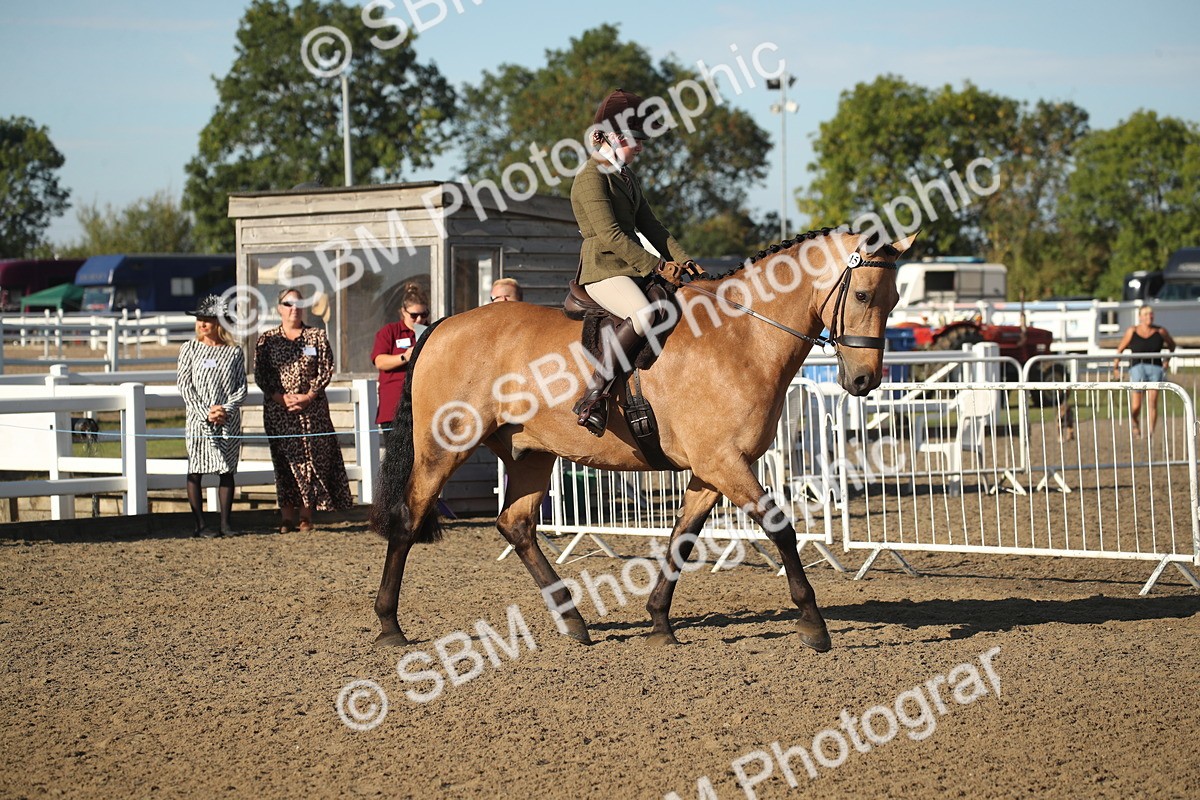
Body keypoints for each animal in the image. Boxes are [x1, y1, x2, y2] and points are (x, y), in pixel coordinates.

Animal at [370, 227, 917, 652]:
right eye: (863, 296)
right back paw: (389, 625)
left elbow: (682, 539)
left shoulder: (711, 470)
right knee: (410, 518)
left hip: (532, 454)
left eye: (893, 300)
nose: (865, 381)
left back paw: (573, 620)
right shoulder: (724, 463)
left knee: (516, 524)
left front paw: (658, 622)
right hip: (444, 448)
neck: (741, 336)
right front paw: (814, 625)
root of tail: (443, 325)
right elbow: (780, 528)